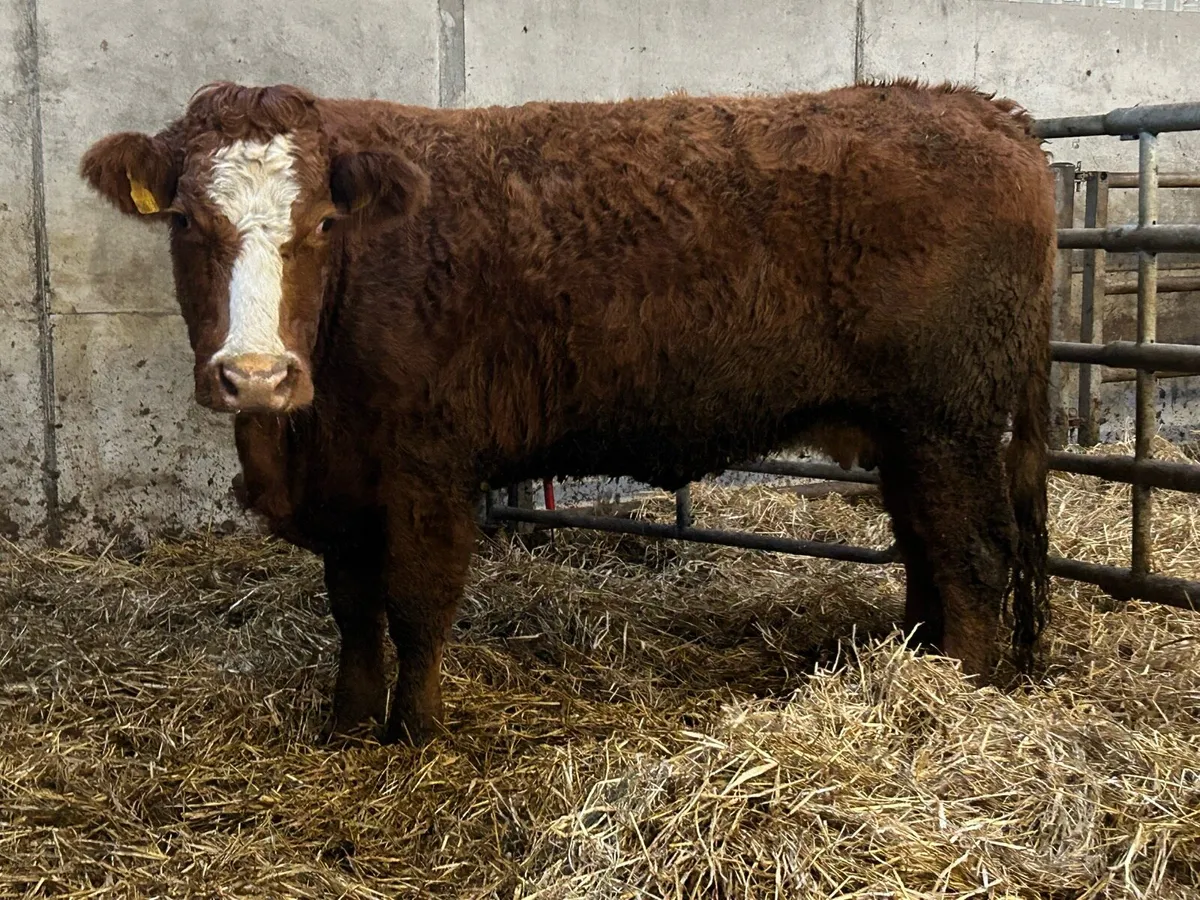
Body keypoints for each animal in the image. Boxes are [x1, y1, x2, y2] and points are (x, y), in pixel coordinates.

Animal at [81, 79, 1055, 745]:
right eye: (184, 222)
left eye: (323, 222)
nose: (255, 376)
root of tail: (984, 111)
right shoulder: (348, 483)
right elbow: (353, 609)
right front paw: (350, 723)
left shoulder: (430, 470)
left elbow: (418, 605)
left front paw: (417, 731)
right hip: (911, 435)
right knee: (929, 551)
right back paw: (915, 657)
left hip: (950, 420)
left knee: (974, 558)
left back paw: (954, 694)